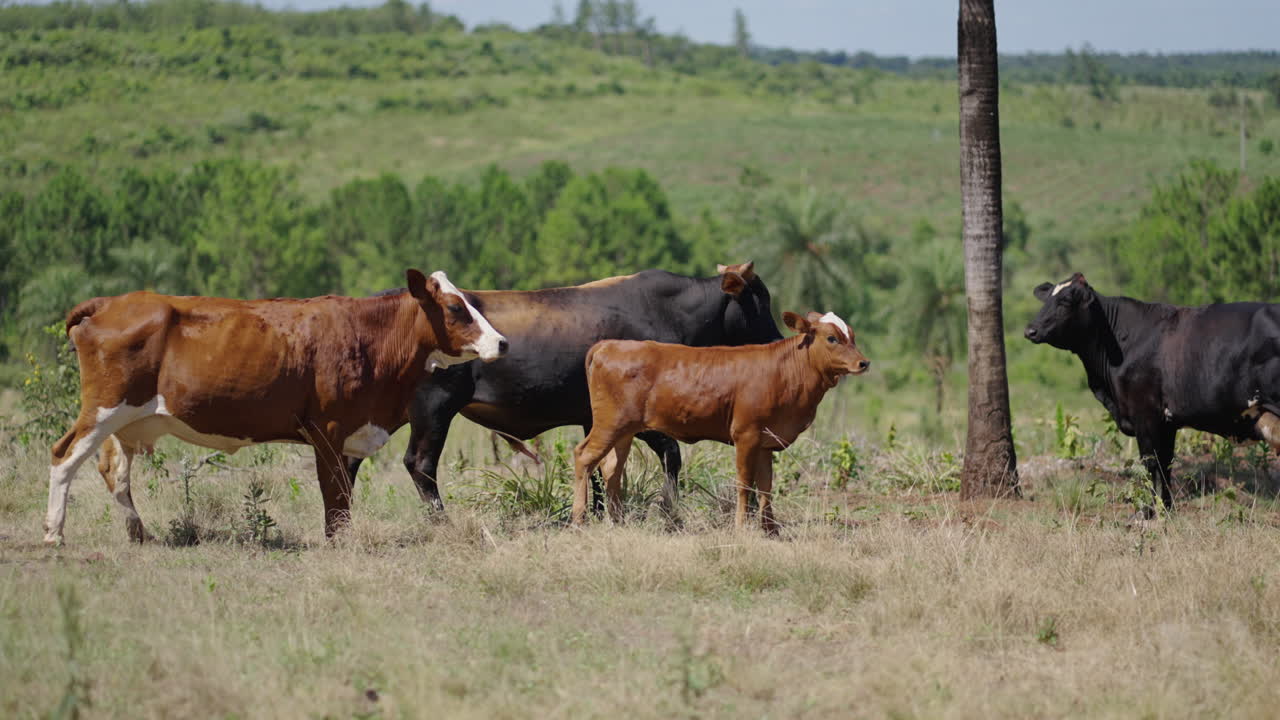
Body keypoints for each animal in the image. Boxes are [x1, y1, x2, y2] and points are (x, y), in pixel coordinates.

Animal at [43, 270, 506, 545]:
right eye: (455, 307)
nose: (501, 342)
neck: (367, 337)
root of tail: (113, 302)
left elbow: (344, 493)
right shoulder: (327, 428)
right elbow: (334, 494)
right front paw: (337, 544)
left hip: (127, 420)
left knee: (114, 470)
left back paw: (139, 534)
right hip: (103, 408)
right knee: (64, 455)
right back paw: (54, 535)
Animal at [342, 262, 783, 520]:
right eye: (759, 301)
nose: (780, 340)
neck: (668, 313)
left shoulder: (597, 418)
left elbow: (600, 469)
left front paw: (600, 514)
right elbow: (670, 455)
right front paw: (668, 510)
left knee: (348, 459)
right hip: (434, 408)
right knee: (419, 464)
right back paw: (441, 521)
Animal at [573, 310, 870, 533]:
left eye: (852, 336)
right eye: (832, 338)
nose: (863, 363)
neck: (784, 372)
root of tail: (609, 345)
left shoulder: (766, 441)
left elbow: (766, 487)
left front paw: (771, 530)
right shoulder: (746, 435)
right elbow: (745, 484)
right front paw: (740, 528)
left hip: (624, 431)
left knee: (612, 468)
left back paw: (617, 522)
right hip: (609, 424)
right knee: (584, 457)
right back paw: (579, 520)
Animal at [1024, 272, 1280, 513]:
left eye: (1066, 301)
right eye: (1046, 299)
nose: (1030, 330)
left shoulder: (1144, 414)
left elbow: (1149, 464)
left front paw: (1145, 512)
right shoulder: (1166, 421)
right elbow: (1165, 464)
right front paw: (1165, 508)